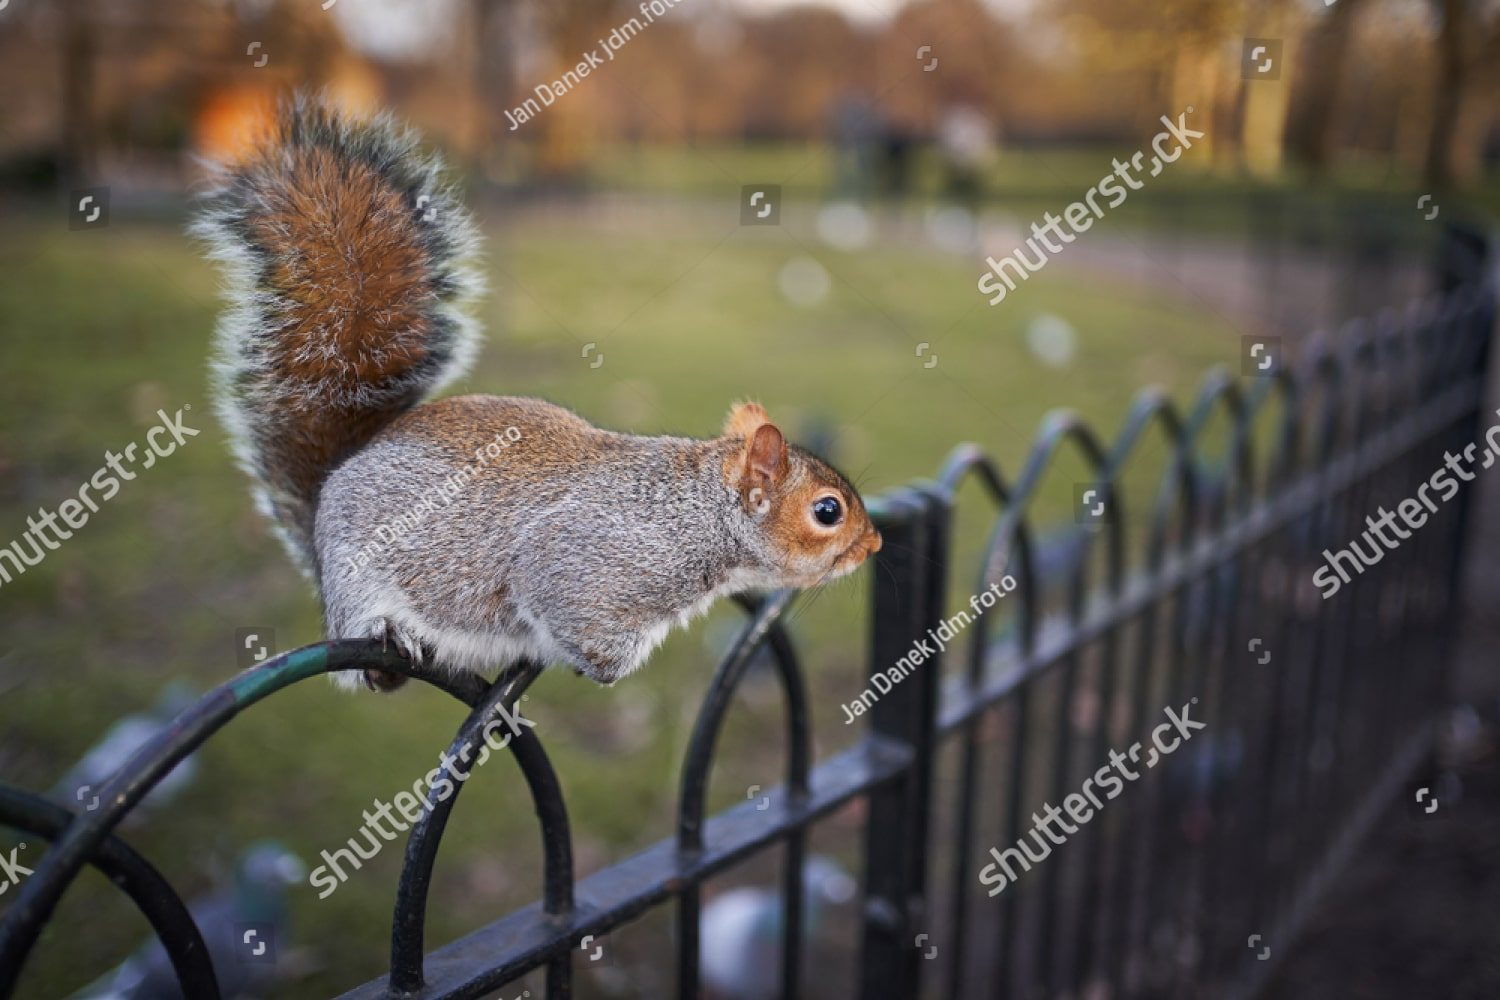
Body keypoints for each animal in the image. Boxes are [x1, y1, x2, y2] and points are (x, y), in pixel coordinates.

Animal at [193, 96, 882, 692]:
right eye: (827, 511)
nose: (872, 544)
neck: (699, 514)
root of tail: (329, 493)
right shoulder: (589, 564)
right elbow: (574, 615)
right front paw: (605, 666)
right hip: (355, 579)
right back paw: (389, 634)